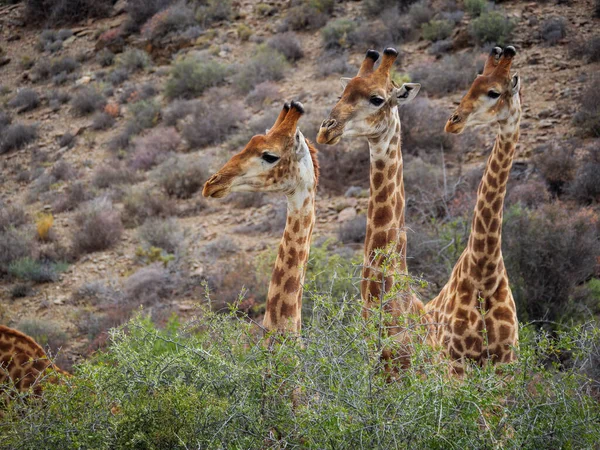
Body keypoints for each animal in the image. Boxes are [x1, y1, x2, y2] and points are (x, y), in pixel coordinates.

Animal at [424, 46, 524, 376]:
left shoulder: (505, 363)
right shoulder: (456, 362)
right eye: (472, 83)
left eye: (494, 92)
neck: (484, 270)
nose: (452, 121)